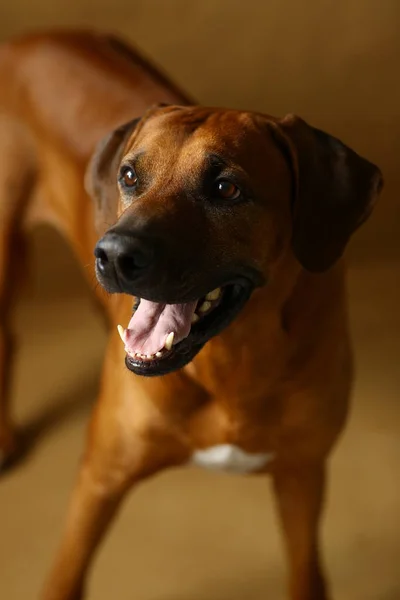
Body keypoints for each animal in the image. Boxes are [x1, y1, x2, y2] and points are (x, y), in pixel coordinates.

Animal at [0, 29, 382, 600]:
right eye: (129, 176)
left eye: (226, 188)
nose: (114, 255)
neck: (230, 360)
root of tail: (28, 39)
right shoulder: (99, 481)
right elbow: (64, 575)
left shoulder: (303, 474)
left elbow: (306, 572)